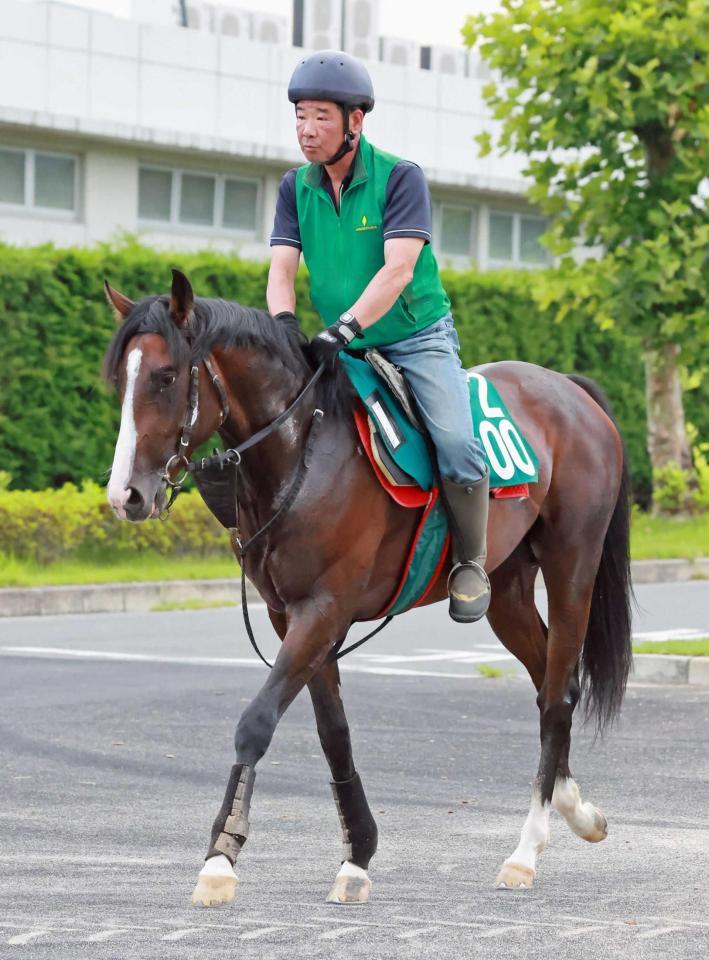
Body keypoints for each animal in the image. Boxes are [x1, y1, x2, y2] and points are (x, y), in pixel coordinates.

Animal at [103, 268, 632, 908]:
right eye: (120, 380)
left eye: (165, 376)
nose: (125, 494)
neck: (303, 450)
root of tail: (571, 393)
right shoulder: (291, 617)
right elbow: (334, 733)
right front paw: (357, 854)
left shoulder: (323, 612)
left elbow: (256, 722)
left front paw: (221, 858)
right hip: (506, 591)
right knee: (554, 683)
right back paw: (575, 808)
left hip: (572, 564)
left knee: (555, 698)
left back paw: (525, 852)